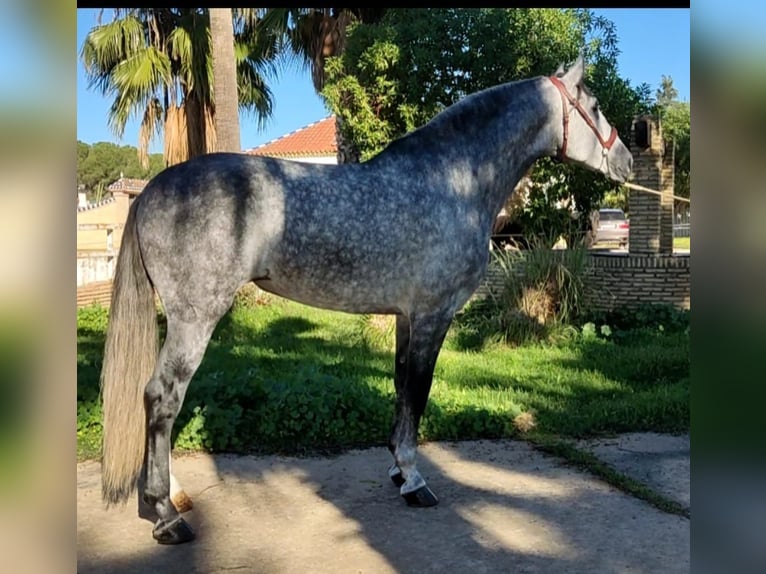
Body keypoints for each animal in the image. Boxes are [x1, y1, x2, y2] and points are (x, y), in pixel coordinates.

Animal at [99, 57, 632, 544]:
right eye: (594, 106)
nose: (626, 160)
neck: (453, 180)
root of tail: (150, 191)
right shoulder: (434, 315)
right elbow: (418, 391)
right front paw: (415, 481)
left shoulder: (405, 318)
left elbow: (400, 388)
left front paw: (397, 469)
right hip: (195, 319)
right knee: (162, 398)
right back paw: (167, 515)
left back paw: (174, 495)